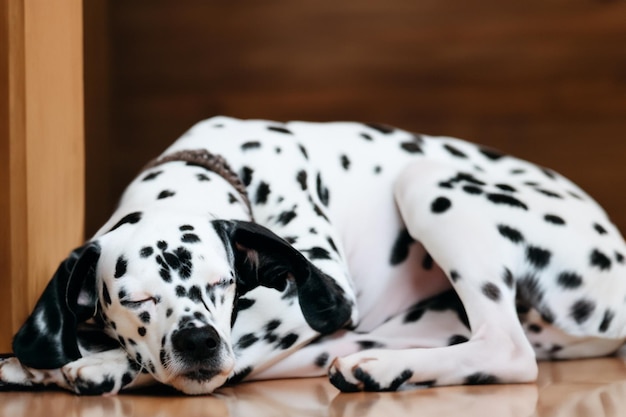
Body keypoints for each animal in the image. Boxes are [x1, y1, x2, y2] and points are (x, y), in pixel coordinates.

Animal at [1, 116, 624, 394]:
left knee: (508, 350)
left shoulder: (312, 296)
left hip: (428, 181)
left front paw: (98, 362)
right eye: (136, 300)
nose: (199, 342)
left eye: (225, 284)